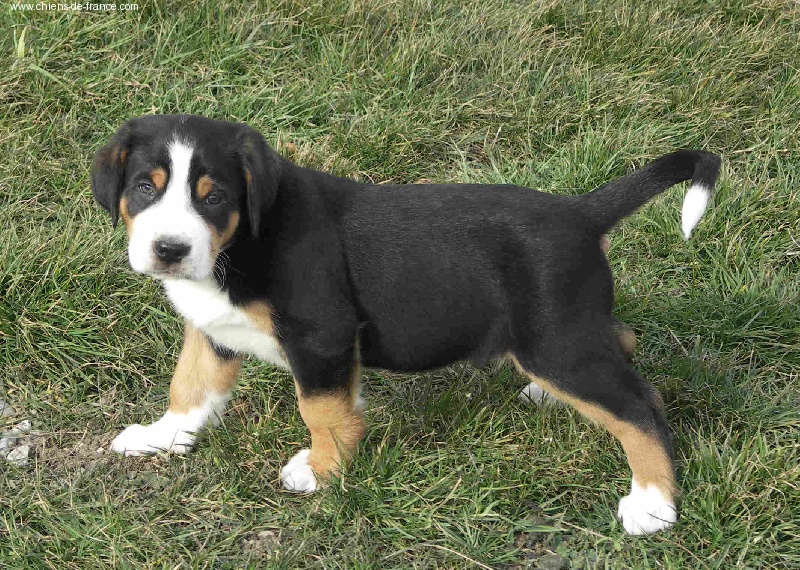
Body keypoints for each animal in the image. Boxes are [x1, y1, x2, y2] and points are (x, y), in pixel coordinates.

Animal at [90, 114, 720, 532]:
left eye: (214, 197)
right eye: (144, 187)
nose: (169, 250)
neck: (242, 242)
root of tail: (581, 213)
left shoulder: (321, 336)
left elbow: (322, 411)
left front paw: (320, 471)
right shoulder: (213, 331)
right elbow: (190, 388)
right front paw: (161, 437)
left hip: (558, 342)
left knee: (639, 406)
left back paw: (653, 503)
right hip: (565, 333)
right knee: (622, 338)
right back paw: (548, 395)